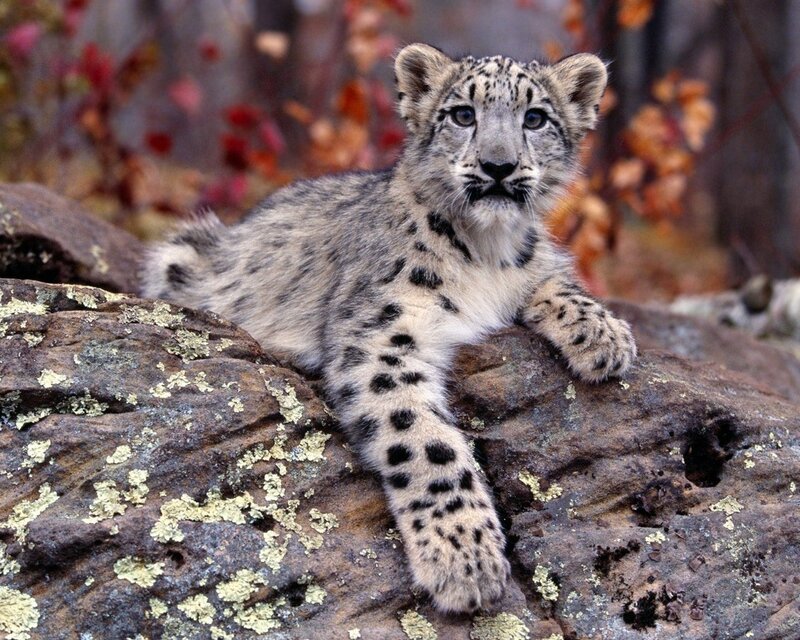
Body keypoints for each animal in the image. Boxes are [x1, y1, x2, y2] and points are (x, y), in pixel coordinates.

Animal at [141, 43, 637, 613]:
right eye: (461, 114)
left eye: (535, 118)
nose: (499, 165)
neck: (486, 252)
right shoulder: (381, 336)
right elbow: (426, 443)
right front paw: (465, 557)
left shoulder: (532, 266)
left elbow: (554, 277)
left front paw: (605, 337)